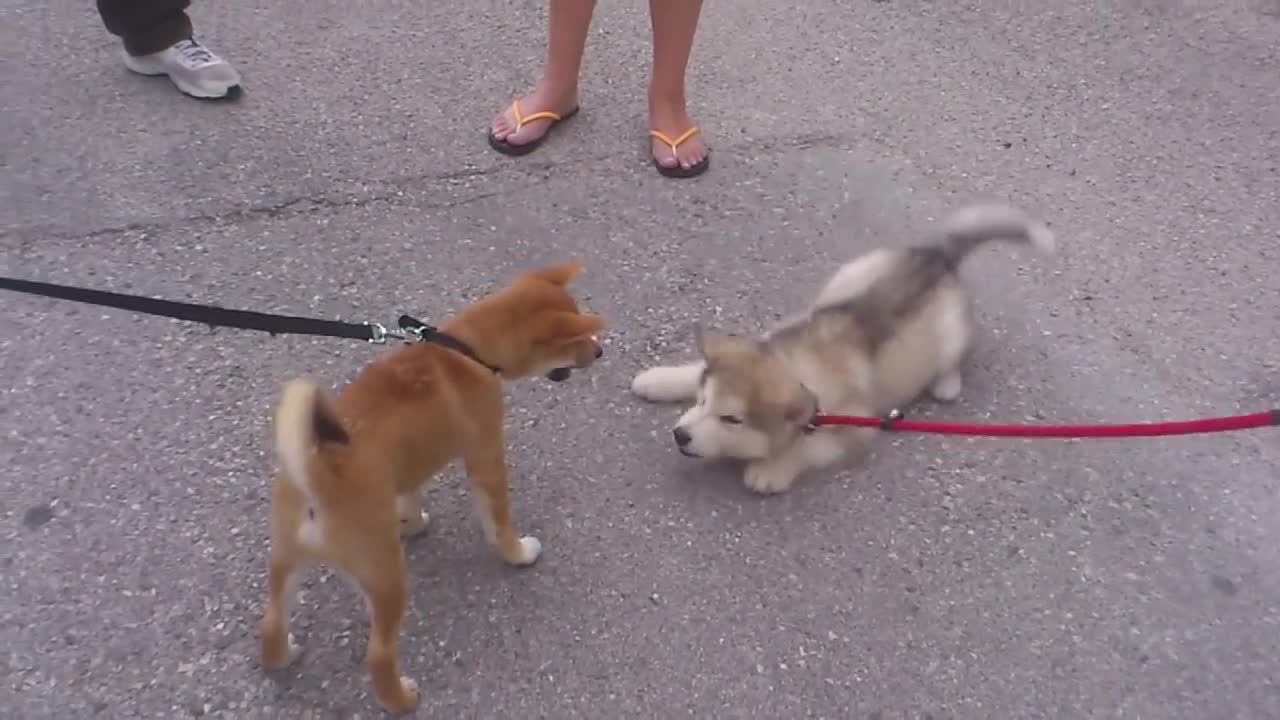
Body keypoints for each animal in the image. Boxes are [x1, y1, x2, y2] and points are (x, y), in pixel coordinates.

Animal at [629, 202, 1059, 491]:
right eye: (703, 400)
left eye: (731, 420)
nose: (680, 435)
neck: (797, 367)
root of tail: (937, 258)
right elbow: (692, 369)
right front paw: (659, 379)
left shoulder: (855, 426)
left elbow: (809, 447)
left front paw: (771, 469)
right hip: (849, 276)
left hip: (951, 333)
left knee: (955, 359)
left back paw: (947, 383)